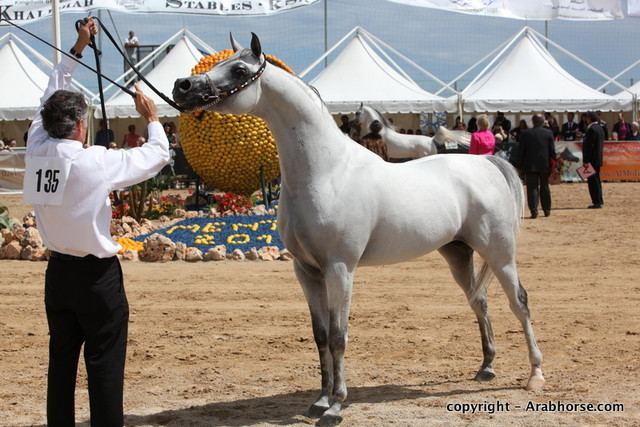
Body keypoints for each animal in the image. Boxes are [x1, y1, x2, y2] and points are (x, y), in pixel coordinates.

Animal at [173, 33, 545, 427]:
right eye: (216, 63)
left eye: (240, 70)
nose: (182, 86)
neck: (326, 172)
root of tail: (487, 163)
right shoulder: (306, 271)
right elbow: (320, 335)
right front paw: (319, 400)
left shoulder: (340, 269)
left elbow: (339, 336)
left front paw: (336, 406)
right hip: (458, 253)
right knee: (480, 301)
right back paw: (487, 367)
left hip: (499, 254)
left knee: (519, 302)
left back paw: (535, 374)